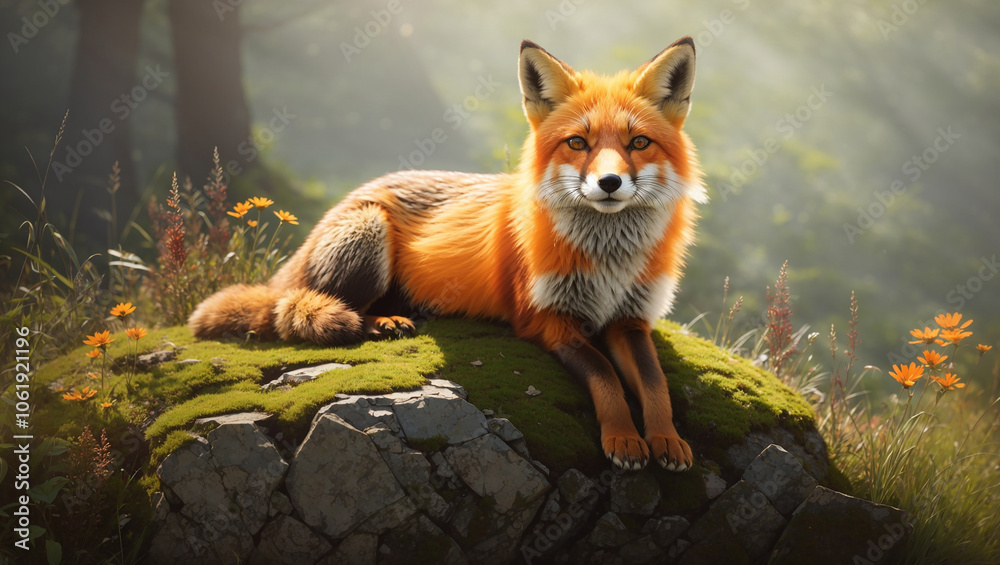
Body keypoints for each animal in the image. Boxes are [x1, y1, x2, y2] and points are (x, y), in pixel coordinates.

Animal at [189, 37, 706, 472]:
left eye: (638, 142)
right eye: (578, 142)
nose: (610, 183)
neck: (607, 263)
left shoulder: (630, 319)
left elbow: (654, 382)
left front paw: (666, 439)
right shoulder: (548, 320)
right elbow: (605, 377)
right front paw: (624, 438)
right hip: (368, 233)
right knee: (310, 310)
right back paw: (382, 323)